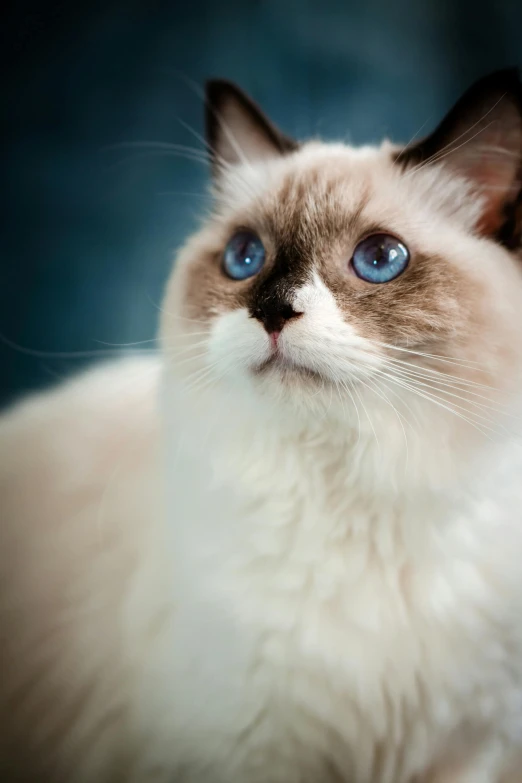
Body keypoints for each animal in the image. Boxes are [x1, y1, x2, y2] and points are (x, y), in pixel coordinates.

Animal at [1, 69, 520, 783]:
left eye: (380, 258)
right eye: (244, 257)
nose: (272, 310)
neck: (349, 503)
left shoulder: (469, 755)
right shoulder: (245, 754)